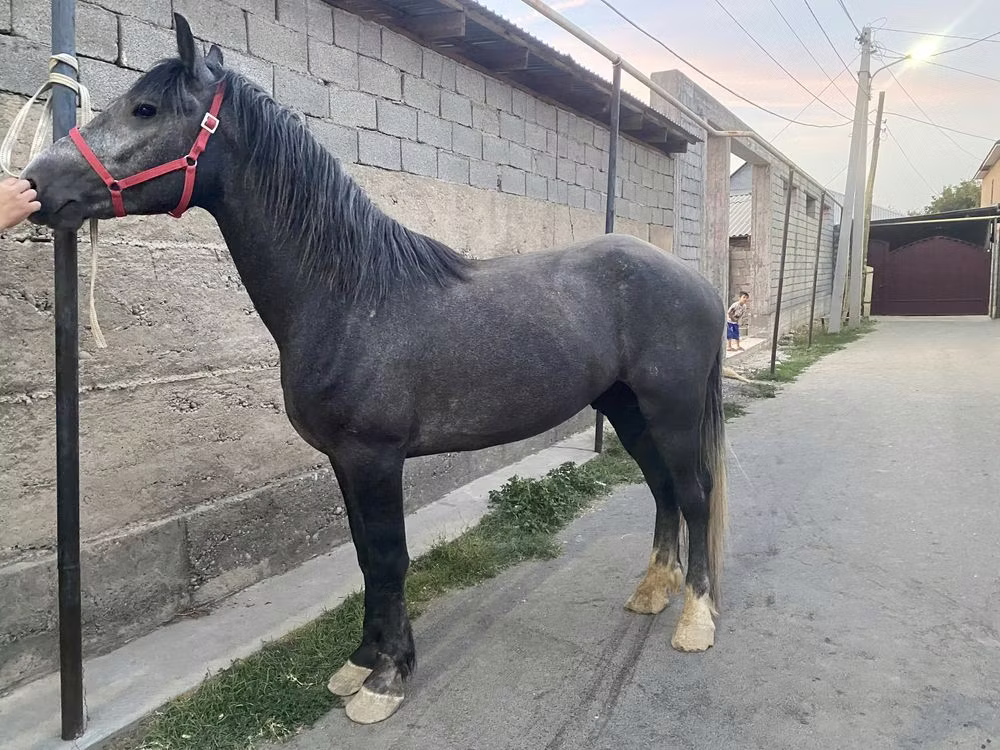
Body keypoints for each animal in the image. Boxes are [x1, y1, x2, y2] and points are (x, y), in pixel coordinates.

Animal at [23, 14, 729, 725]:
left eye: (145, 108)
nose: (35, 184)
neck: (351, 295)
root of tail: (696, 280)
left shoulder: (375, 457)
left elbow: (390, 558)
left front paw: (385, 681)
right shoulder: (345, 459)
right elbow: (366, 557)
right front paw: (362, 662)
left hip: (670, 411)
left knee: (694, 494)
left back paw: (695, 619)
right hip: (627, 408)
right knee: (663, 490)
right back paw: (653, 590)